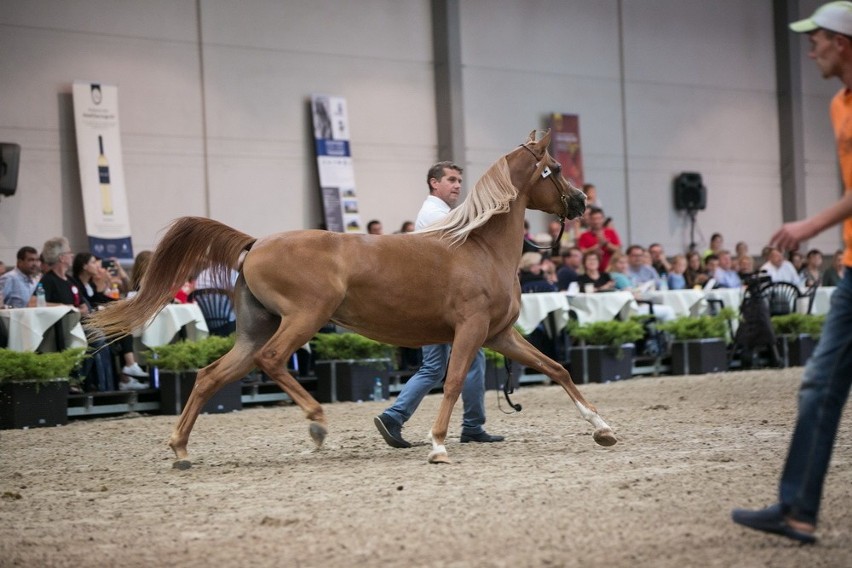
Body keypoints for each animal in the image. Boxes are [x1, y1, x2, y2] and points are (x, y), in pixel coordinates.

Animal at [88, 131, 620, 468]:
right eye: (554, 168)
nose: (580, 202)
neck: (477, 247)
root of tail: (255, 243)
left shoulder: (501, 335)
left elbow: (557, 369)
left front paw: (602, 428)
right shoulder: (469, 331)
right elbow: (450, 384)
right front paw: (438, 446)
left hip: (253, 329)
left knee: (209, 376)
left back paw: (181, 451)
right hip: (303, 318)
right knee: (272, 361)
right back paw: (317, 427)